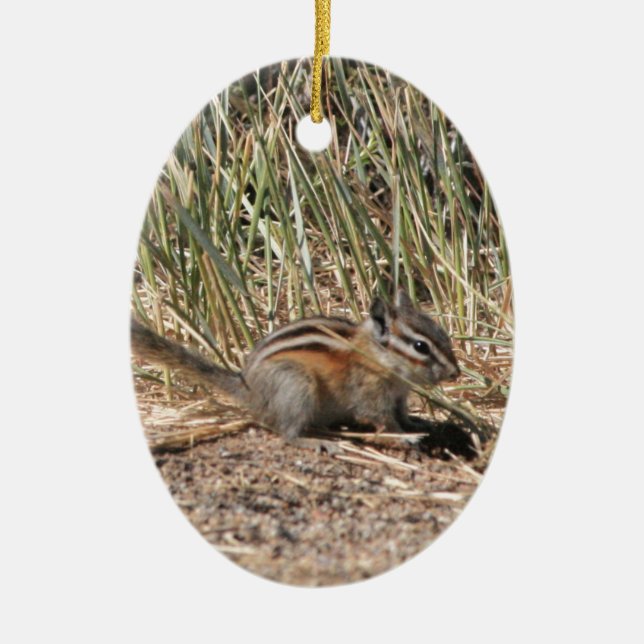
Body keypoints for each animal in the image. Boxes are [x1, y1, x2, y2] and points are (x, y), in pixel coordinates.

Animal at [131, 290, 460, 451]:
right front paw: (405, 438)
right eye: (420, 346)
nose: (455, 373)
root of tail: (247, 387)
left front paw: (421, 424)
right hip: (296, 384)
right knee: (287, 433)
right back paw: (316, 441)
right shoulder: (369, 393)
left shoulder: (400, 395)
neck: (378, 356)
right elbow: (383, 420)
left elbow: (402, 413)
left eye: (442, 333)